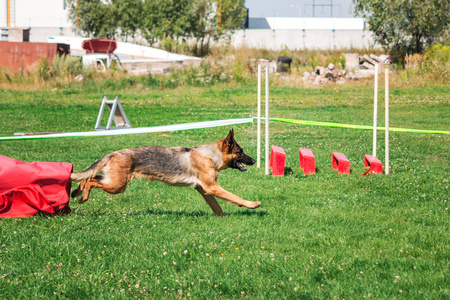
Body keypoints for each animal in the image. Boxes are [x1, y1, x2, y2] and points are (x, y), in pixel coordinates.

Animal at [70, 129, 260, 216]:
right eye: (241, 152)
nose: (254, 161)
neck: (211, 155)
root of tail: (114, 153)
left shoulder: (203, 189)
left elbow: (217, 206)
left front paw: (222, 217)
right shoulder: (212, 187)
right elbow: (235, 197)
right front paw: (252, 204)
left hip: (113, 180)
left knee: (87, 178)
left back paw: (76, 192)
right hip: (117, 186)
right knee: (90, 181)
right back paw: (82, 198)